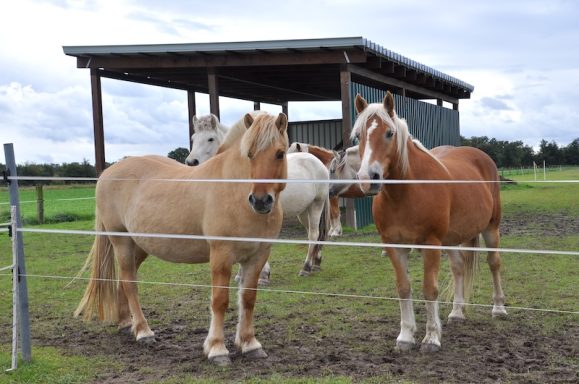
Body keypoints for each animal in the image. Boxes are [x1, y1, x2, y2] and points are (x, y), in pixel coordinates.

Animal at [75, 112, 290, 366]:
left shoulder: (258, 256)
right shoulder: (221, 254)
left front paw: (250, 344)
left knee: (124, 281)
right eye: (249, 154)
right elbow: (220, 301)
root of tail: (108, 173)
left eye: (280, 153)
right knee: (129, 282)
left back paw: (127, 324)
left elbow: (247, 299)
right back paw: (143, 331)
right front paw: (217, 349)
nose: (260, 201)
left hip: (140, 246)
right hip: (122, 242)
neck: (233, 190)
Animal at [187, 113, 330, 280]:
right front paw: (241, 275)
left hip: (316, 205)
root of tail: (318, 162)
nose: (191, 162)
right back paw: (315, 263)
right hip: (303, 211)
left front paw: (263, 275)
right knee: (313, 233)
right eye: (193, 138)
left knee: (314, 234)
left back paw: (306, 267)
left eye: (210, 138)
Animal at [354, 92, 508, 352]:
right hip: (452, 239)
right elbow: (404, 288)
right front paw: (405, 336)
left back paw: (499, 308)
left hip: (491, 229)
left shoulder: (431, 244)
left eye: (389, 133)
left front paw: (432, 338)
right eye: (358, 135)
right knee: (459, 267)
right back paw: (457, 312)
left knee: (494, 263)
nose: (368, 179)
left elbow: (429, 289)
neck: (406, 193)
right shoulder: (394, 246)